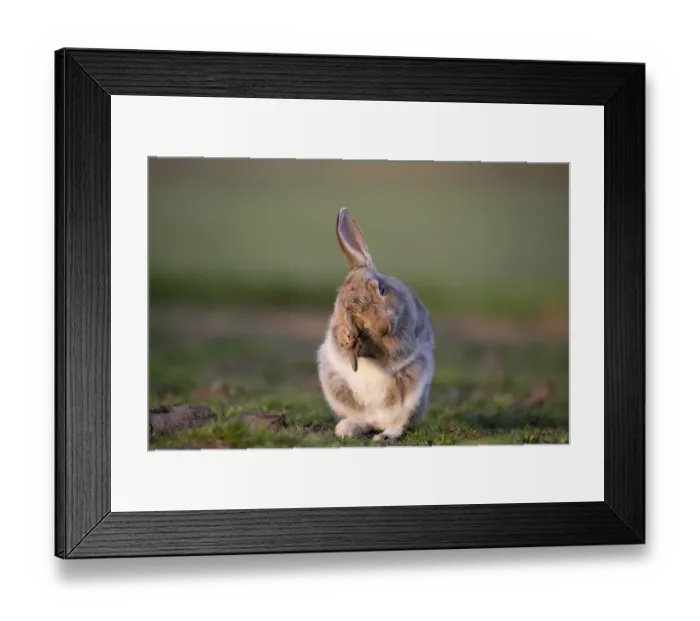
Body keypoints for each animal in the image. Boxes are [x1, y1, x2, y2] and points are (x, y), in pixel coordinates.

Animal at [316, 208, 435, 444]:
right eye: (354, 315)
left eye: (381, 288)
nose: (383, 328)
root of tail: (377, 420)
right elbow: (339, 338)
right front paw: (346, 338)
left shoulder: (404, 334)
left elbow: (389, 349)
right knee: (362, 422)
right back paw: (347, 429)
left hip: (413, 387)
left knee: (398, 422)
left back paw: (385, 435)